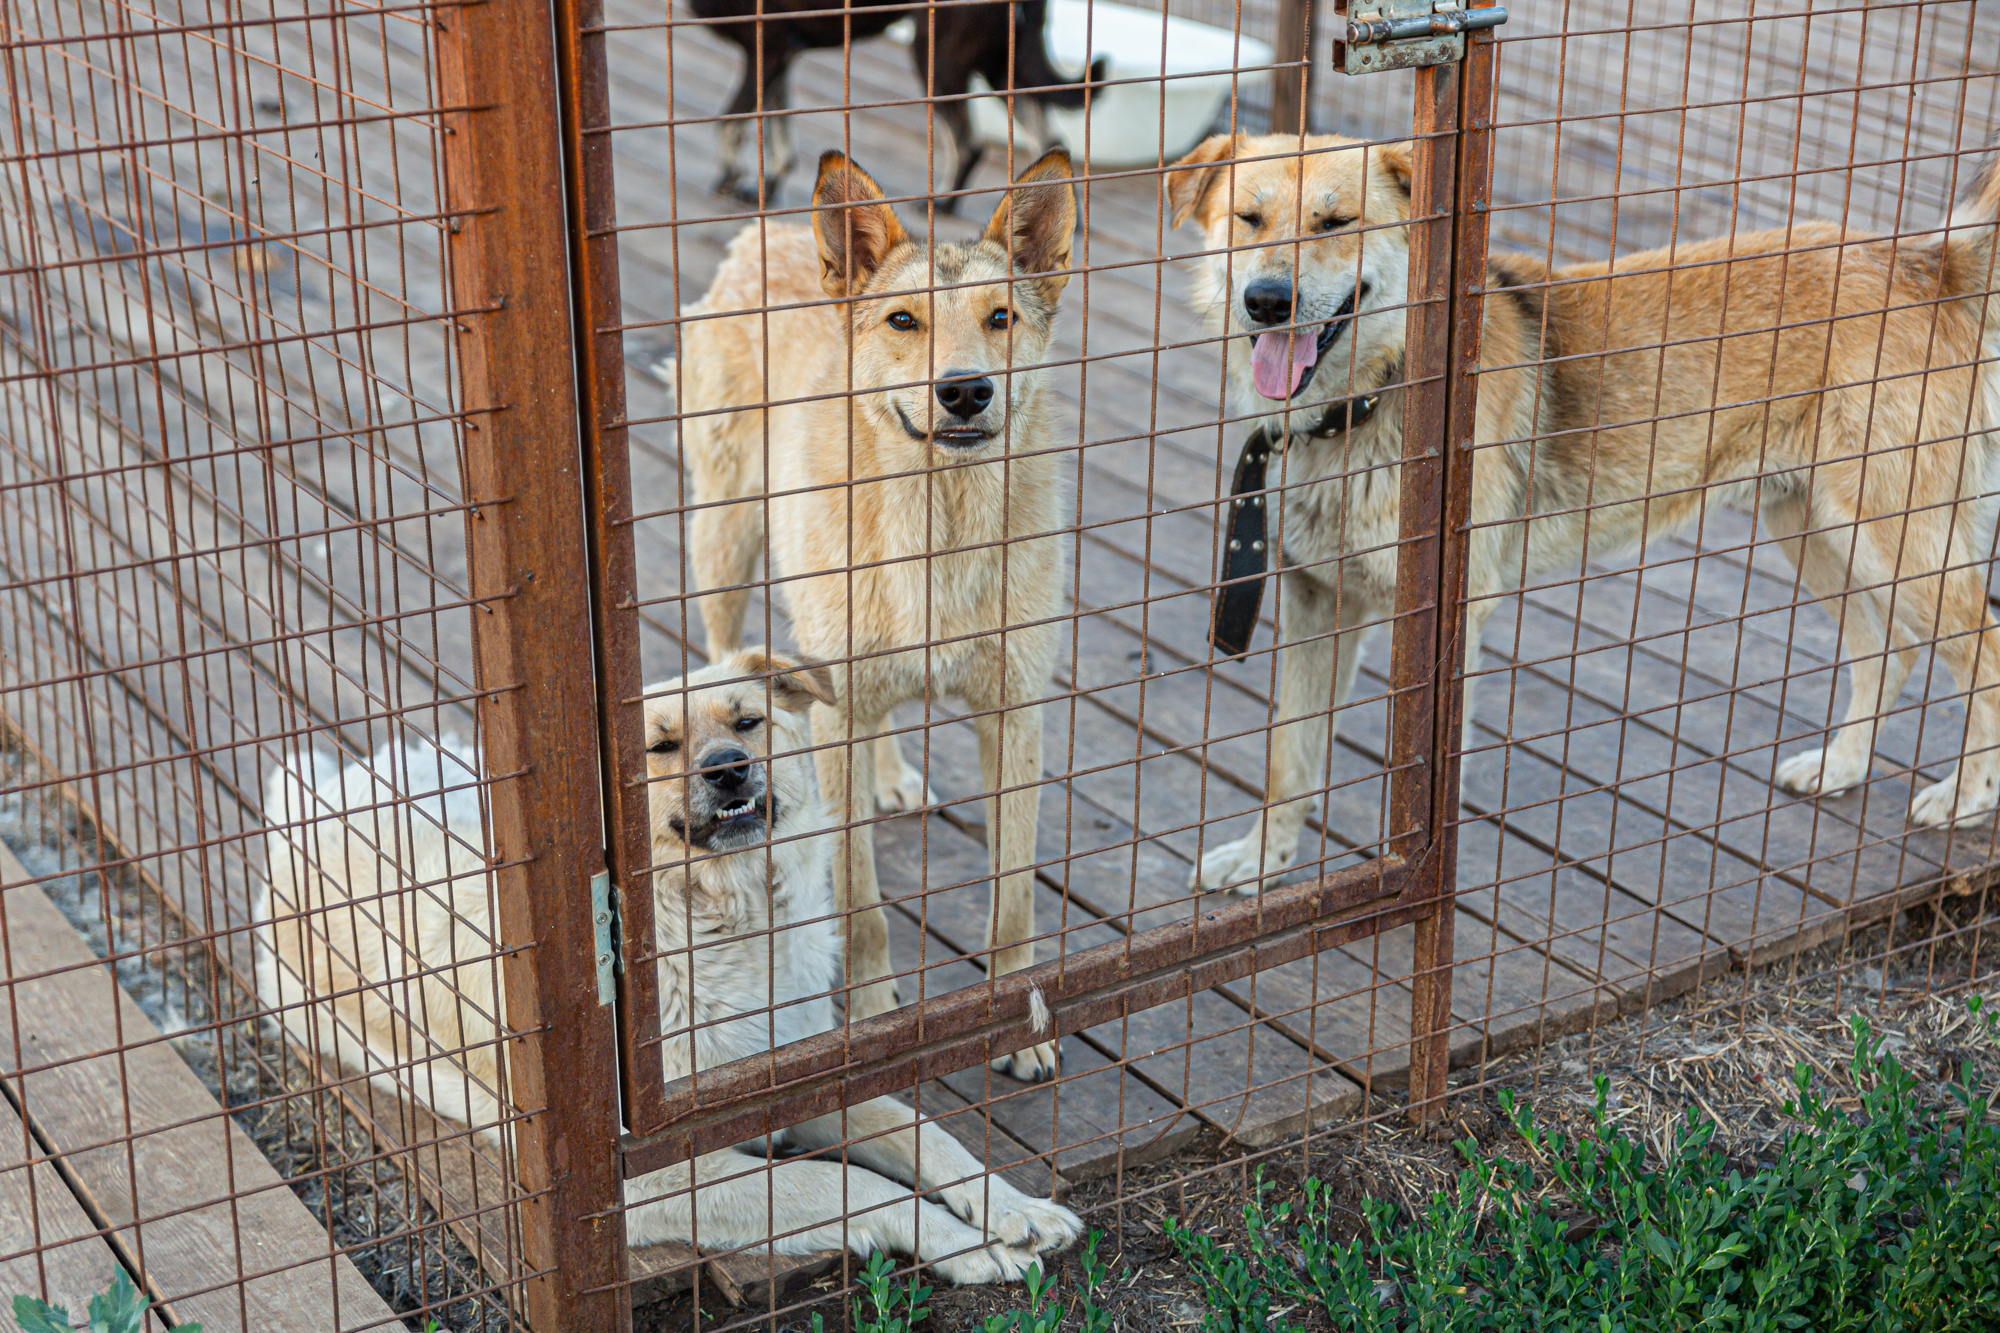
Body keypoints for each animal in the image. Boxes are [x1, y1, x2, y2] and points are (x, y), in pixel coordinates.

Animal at [258, 648, 1088, 1280]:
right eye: (658, 749)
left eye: (748, 721)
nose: (729, 769)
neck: (730, 923)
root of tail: (308, 799)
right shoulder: (662, 1177)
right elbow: (846, 1180)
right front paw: (968, 1246)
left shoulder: (797, 1077)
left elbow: (926, 1133)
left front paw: (1013, 1207)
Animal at [680, 148, 1080, 1080]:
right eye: (903, 321)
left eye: (1002, 317)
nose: (965, 391)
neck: (941, 523)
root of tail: (772, 231)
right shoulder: (839, 723)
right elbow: (859, 904)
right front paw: (867, 1016)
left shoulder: (1016, 712)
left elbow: (1014, 897)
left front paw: (1020, 1027)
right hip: (725, 538)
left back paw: (892, 773)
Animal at [700, 0, 1112, 208]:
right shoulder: (780, 56)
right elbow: (776, 130)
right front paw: (766, 188)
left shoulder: (768, 51)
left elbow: (730, 119)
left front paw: (731, 175)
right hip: (1000, 65)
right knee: (1050, 138)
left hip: (936, 57)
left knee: (968, 142)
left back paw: (942, 203)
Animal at [1168, 132, 2000, 892]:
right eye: (1249, 219)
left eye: (1336, 222)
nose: (1265, 300)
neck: (1372, 396)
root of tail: (1927, 264)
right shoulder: (1318, 602)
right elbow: (1290, 754)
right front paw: (1262, 863)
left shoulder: (1445, 618)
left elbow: (1421, 776)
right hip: (1814, 526)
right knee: (1887, 649)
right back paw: (1842, 765)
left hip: (1897, 541)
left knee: (1983, 650)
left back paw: (1965, 796)